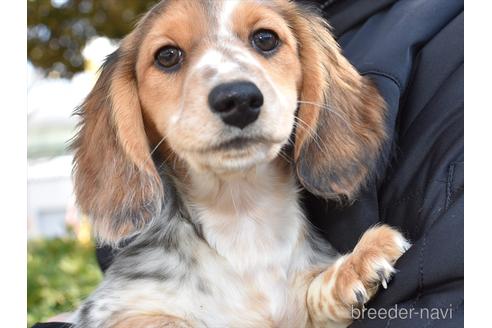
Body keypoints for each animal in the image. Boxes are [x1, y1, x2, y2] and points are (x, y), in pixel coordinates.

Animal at [71, 1, 410, 326]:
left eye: (265, 39)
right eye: (166, 56)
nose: (238, 100)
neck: (242, 215)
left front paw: (356, 263)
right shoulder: (124, 312)